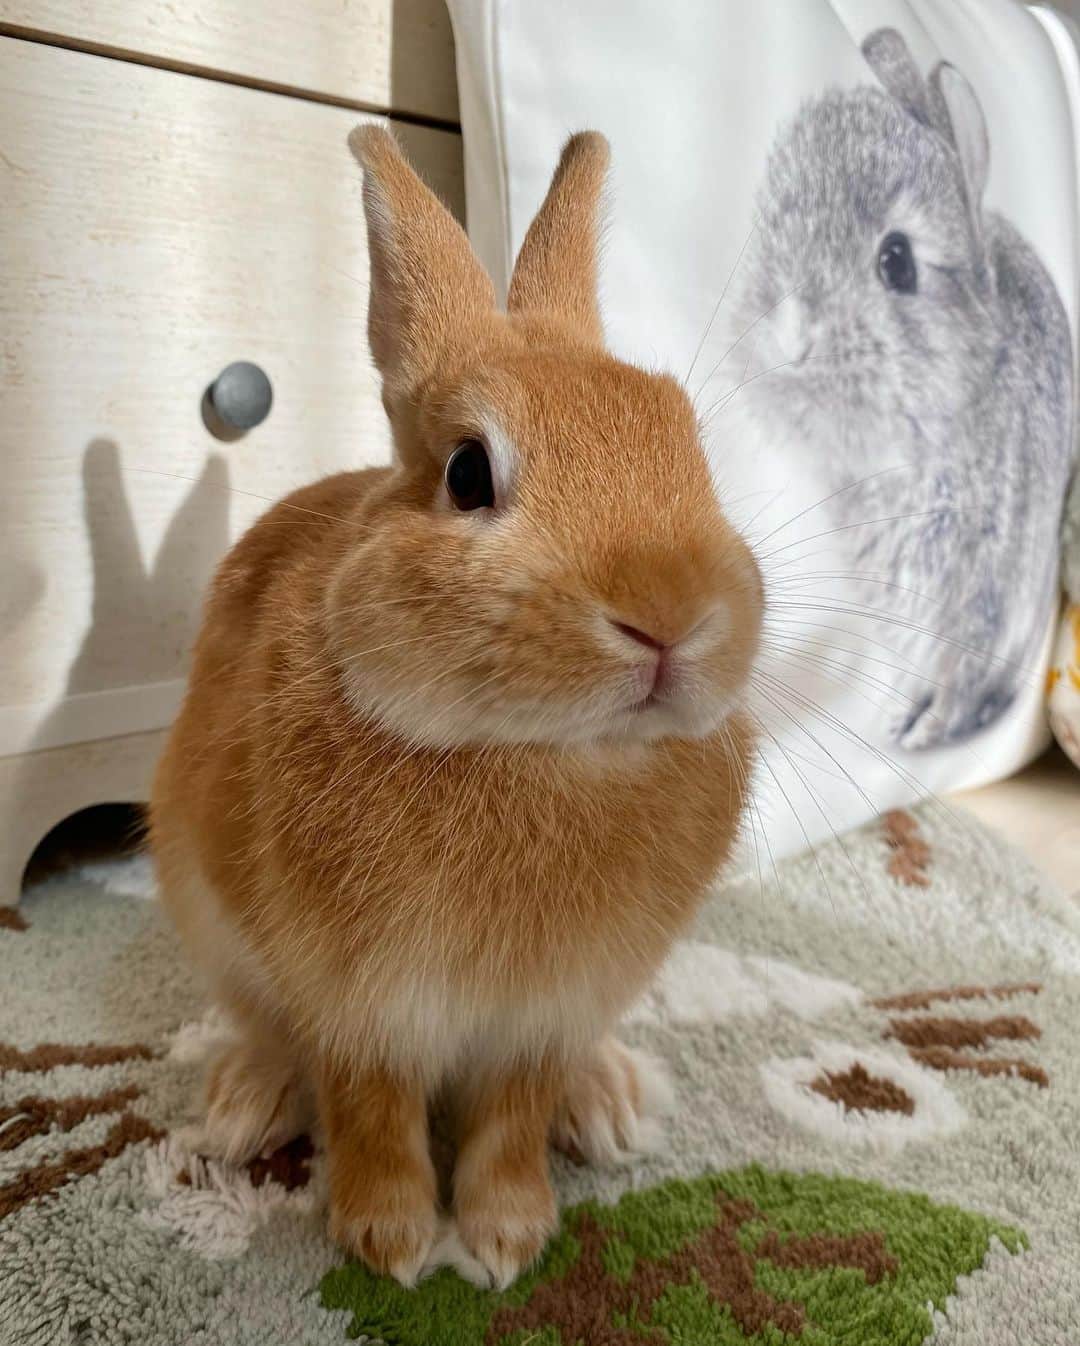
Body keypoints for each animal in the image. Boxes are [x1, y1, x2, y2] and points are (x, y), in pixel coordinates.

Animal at [149, 127, 763, 1290]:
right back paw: (243, 1107)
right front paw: (391, 1241)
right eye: (469, 472)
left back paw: (610, 1105)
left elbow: (512, 1117)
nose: (668, 617)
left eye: (692, 450)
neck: (536, 757)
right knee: (264, 1031)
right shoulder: (355, 1002)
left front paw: (505, 1238)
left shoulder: (541, 1015)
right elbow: (371, 1108)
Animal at [719, 26, 1072, 750]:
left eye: (898, 261)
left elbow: (959, 675)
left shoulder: (982, 599)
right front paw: (896, 719)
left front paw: (923, 731)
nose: (790, 336)